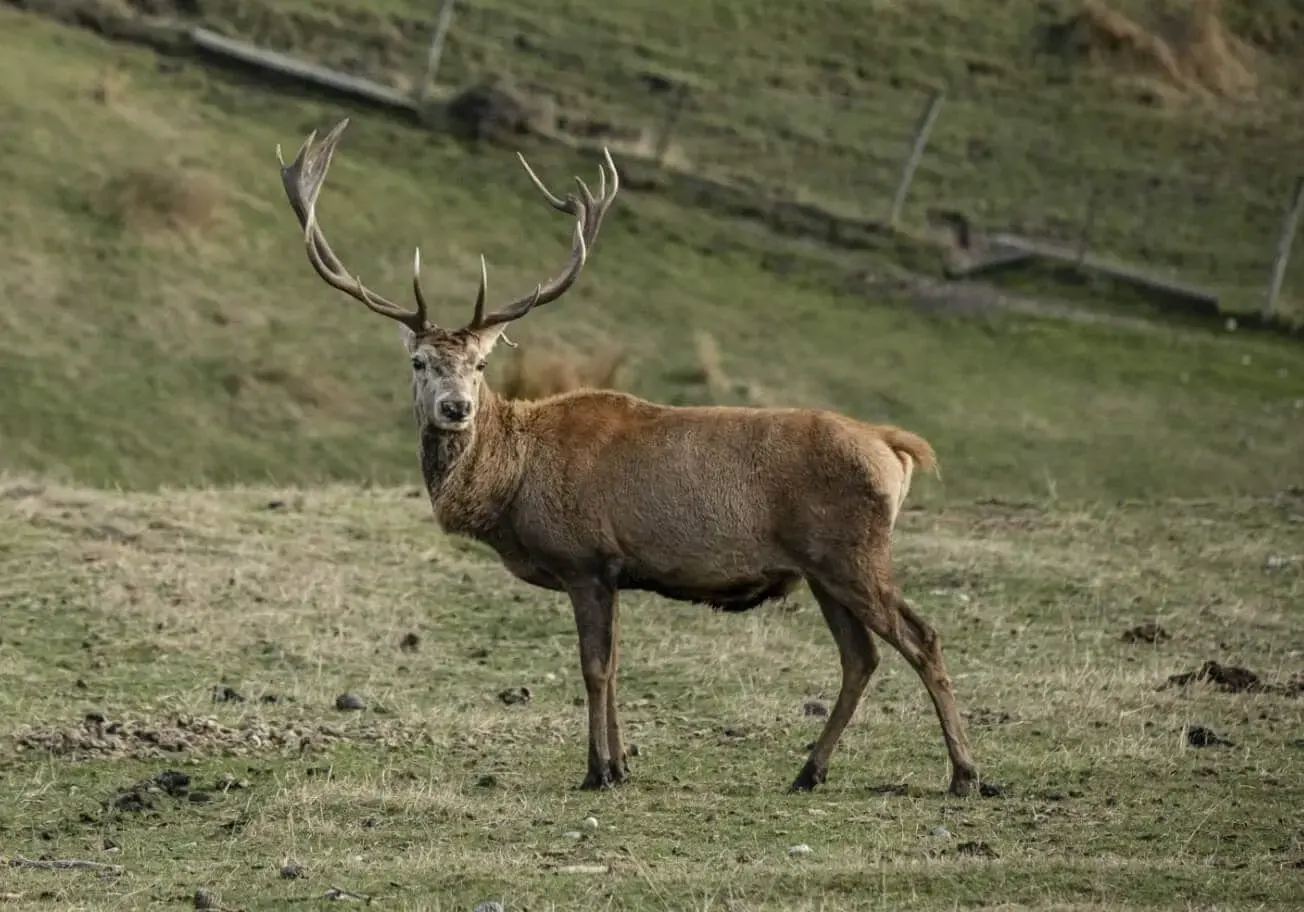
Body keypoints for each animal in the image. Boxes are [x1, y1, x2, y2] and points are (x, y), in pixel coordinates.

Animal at [274, 118, 980, 797]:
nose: (456, 408)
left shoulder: (585, 558)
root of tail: (896, 449)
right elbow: (614, 668)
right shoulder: (613, 572)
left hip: (853, 551)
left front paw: (597, 769)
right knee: (861, 657)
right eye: (420, 362)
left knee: (922, 637)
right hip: (821, 570)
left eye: (479, 364)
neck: (510, 486)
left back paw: (965, 774)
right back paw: (810, 771)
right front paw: (621, 766)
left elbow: (594, 668)